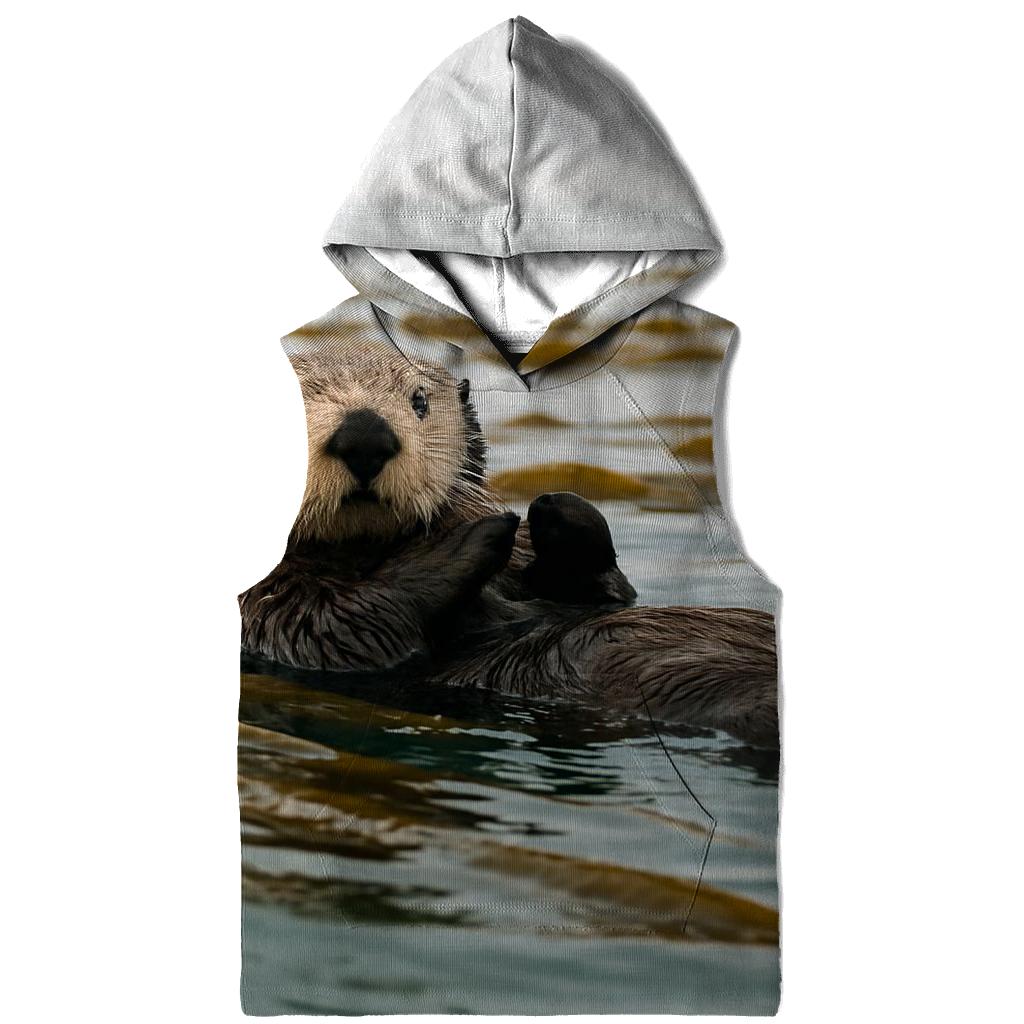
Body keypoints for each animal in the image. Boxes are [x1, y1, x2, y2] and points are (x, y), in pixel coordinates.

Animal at [239, 346, 776, 745]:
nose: (365, 434)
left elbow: (611, 594)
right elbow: (344, 630)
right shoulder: (271, 610)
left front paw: (556, 512)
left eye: (420, 401)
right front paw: (476, 534)